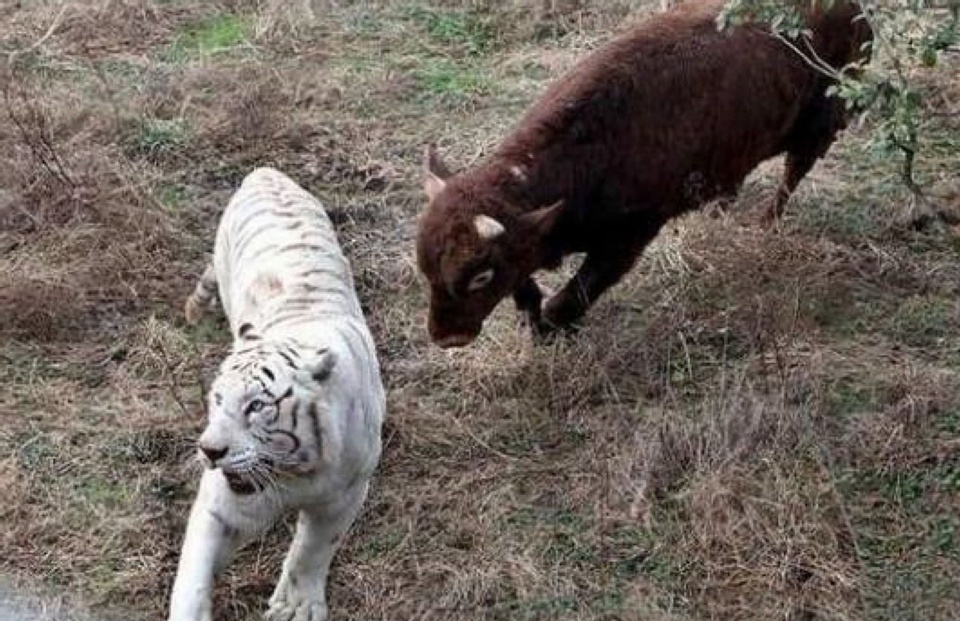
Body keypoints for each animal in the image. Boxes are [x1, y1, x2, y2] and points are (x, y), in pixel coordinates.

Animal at [171, 167, 384, 620]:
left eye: (256, 406)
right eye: (217, 401)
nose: (209, 451)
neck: (294, 471)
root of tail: (264, 171)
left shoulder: (347, 492)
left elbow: (313, 548)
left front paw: (296, 605)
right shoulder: (222, 504)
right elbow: (193, 573)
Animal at [416, 0, 872, 348]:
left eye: (480, 276)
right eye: (426, 270)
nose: (446, 336)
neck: (589, 147)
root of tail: (855, 10)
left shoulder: (630, 235)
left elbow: (572, 296)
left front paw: (553, 329)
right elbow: (525, 284)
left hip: (822, 124)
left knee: (792, 174)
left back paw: (764, 225)